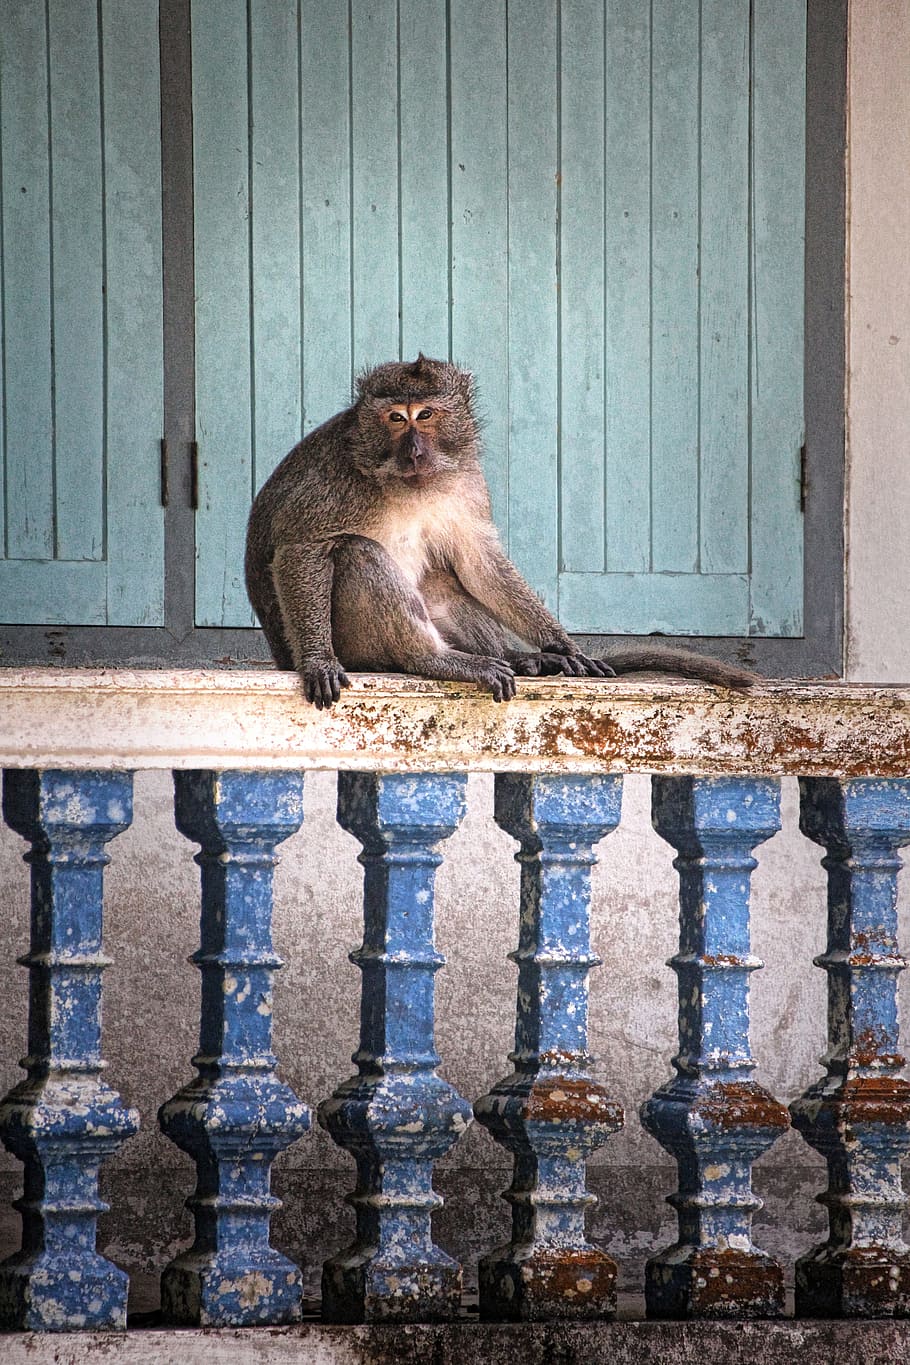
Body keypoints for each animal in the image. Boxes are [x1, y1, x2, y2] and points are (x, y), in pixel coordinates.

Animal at [245, 355, 757, 708]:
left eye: (425, 415)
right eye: (396, 418)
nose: (414, 451)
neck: (403, 481)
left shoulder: (467, 478)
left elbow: (478, 560)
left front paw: (560, 644)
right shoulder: (336, 482)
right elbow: (302, 551)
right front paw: (318, 660)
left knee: (440, 581)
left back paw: (522, 658)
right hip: (360, 647)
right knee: (358, 554)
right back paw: (434, 660)